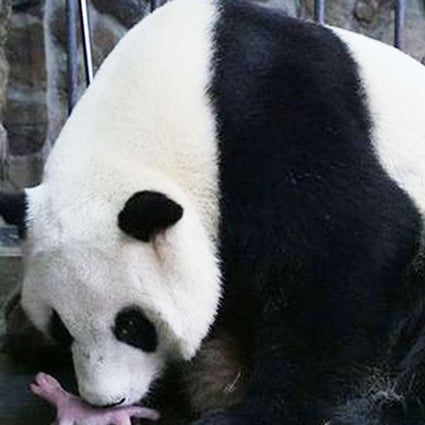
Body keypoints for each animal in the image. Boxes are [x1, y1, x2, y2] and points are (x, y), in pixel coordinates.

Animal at [0, 0, 424, 422]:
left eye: (132, 325)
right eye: (60, 327)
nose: (106, 401)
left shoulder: (275, 116)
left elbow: (351, 244)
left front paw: (256, 410)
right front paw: (25, 328)